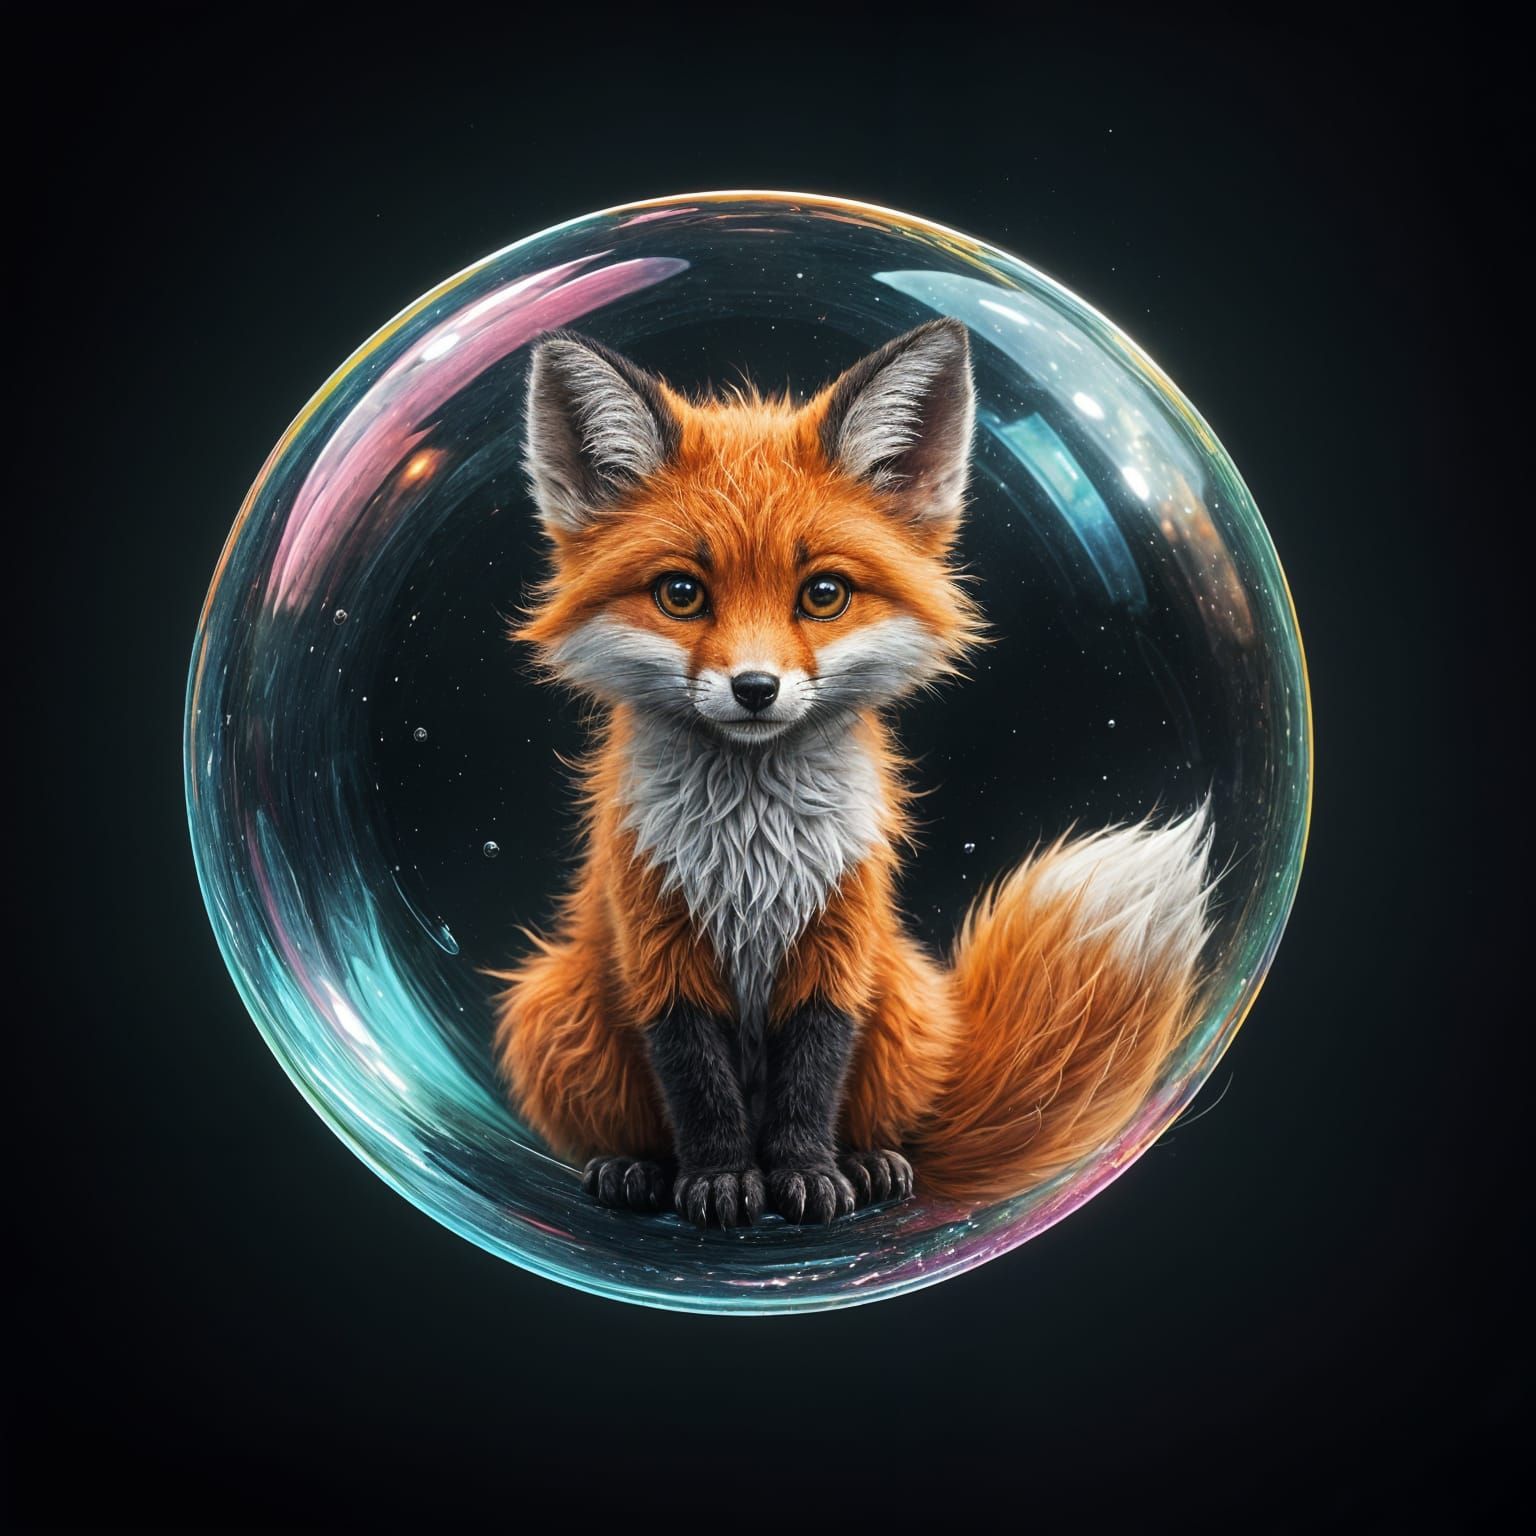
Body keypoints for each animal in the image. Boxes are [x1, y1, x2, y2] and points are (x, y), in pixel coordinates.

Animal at [489, 316, 1216, 1227]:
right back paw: (635, 1169)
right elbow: (698, 1084)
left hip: (900, 995)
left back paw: (872, 1163)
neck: (750, 852)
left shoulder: (839, 934)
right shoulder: (659, 943)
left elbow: (812, 1074)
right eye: (681, 594)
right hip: (553, 1004)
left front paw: (804, 1174)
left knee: (899, 1129)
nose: (755, 688)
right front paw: (721, 1179)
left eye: (824, 593)